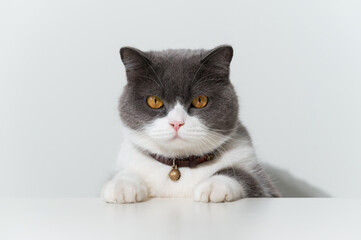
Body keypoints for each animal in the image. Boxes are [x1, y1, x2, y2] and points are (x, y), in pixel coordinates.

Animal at [100, 44, 280, 202]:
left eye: (200, 100)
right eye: (154, 101)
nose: (177, 123)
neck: (179, 166)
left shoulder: (266, 186)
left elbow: (246, 177)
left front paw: (215, 185)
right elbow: (124, 173)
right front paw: (122, 186)